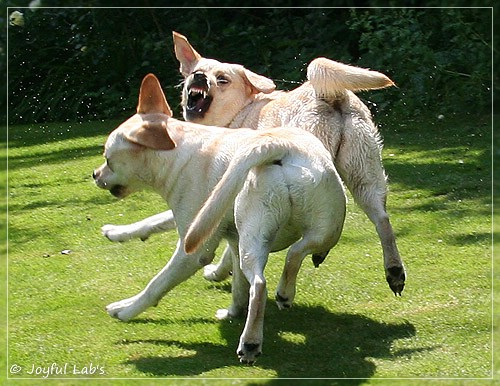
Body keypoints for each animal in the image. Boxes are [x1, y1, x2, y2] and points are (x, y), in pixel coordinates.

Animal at [94, 74, 346, 364]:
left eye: (108, 160)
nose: (94, 174)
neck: (177, 152)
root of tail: (281, 146)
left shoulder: (194, 248)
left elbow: (157, 283)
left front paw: (126, 309)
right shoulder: (219, 230)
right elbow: (155, 222)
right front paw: (116, 232)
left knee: (260, 284)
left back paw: (250, 342)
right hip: (320, 229)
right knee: (296, 252)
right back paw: (286, 289)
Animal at [102, 30, 406, 296]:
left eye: (222, 79)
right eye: (195, 71)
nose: (198, 77)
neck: (240, 111)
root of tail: (329, 95)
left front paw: (219, 272)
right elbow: (155, 220)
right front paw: (118, 232)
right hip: (365, 176)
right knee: (382, 219)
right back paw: (393, 271)